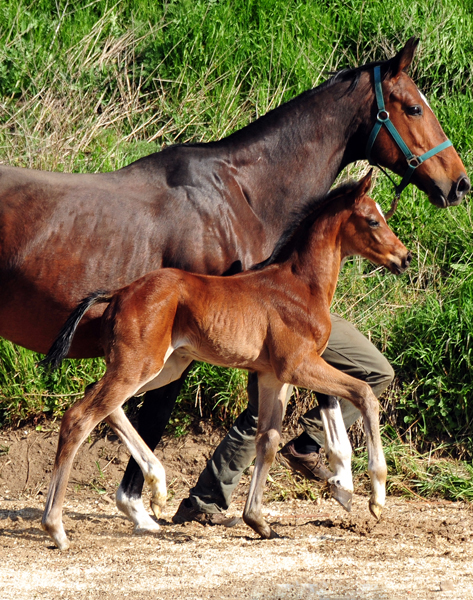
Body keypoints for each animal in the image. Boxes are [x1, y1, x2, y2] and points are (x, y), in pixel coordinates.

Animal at [40, 170, 410, 548]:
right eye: (373, 220)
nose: (404, 257)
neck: (301, 286)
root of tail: (118, 293)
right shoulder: (298, 365)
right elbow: (364, 393)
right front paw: (376, 497)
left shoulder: (274, 376)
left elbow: (268, 440)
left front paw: (259, 521)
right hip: (139, 366)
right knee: (80, 417)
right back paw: (56, 527)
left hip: (162, 368)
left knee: (99, 399)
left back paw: (157, 489)